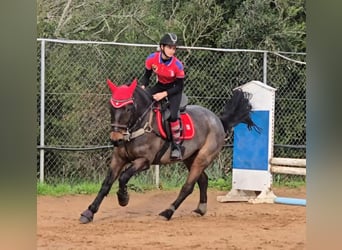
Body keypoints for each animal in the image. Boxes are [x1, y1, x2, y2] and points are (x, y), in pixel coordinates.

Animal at [79, 78, 256, 223]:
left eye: (128, 108)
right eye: (111, 107)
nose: (116, 139)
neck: (140, 124)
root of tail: (218, 120)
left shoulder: (144, 161)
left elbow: (123, 177)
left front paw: (123, 198)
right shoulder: (118, 159)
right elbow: (106, 184)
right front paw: (89, 212)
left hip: (203, 158)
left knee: (188, 186)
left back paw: (168, 212)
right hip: (190, 158)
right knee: (203, 180)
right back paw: (200, 209)